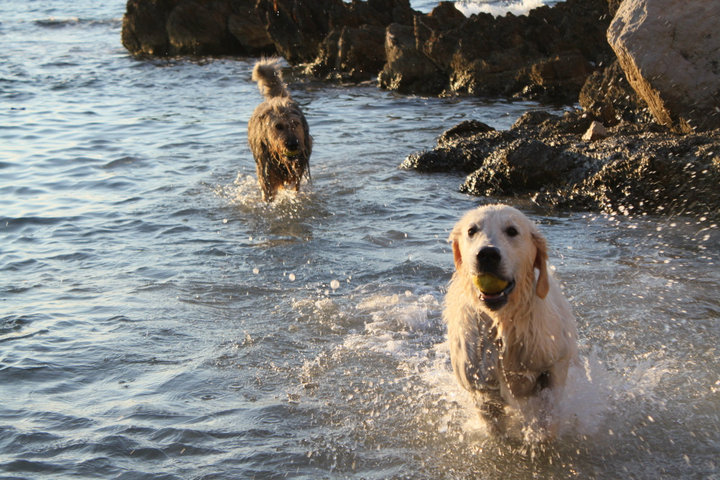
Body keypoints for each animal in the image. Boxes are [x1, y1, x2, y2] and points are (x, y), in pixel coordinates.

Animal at [248, 58, 312, 201]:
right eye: (278, 126)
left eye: (295, 123)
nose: (293, 145)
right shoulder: (265, 171)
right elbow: (267, 192)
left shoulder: (298, 170)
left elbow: (295, 187)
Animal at [444, 204, 580, 436]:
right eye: (472, 230)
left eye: (512, 231)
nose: (487, 255)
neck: (502, 321)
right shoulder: (479, 385)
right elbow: (495, 428)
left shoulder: (555, 362)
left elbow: (549, 413)